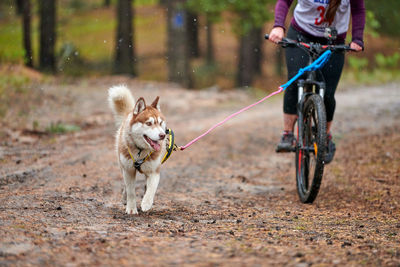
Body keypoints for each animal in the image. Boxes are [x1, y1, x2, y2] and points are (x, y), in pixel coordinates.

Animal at [107, 86, 166, 216]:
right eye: (149, 123)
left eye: (160, 123)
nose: (162, 135)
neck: (140, 150)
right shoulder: (128, 170)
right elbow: (131, 191)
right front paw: (131, 208)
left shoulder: (154, 171)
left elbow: (151, 189)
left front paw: (146, 203)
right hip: (122, 166)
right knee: (125, 186)